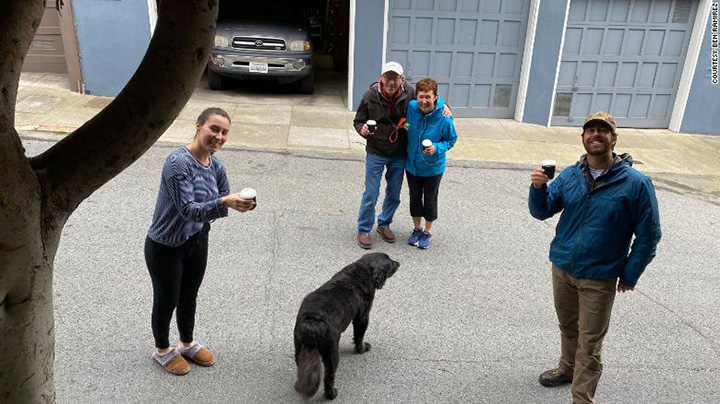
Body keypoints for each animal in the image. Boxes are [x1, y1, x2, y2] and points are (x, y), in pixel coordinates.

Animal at [296, 254, 402, 400]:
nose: (398, 263)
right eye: (390, 262)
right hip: (332, 353)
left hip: (299, 347)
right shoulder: (362, 317)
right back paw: (332, 394)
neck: (363, 269)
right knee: (329, 378)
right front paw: (362, 349)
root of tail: (313, 320)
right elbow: (359, 337)